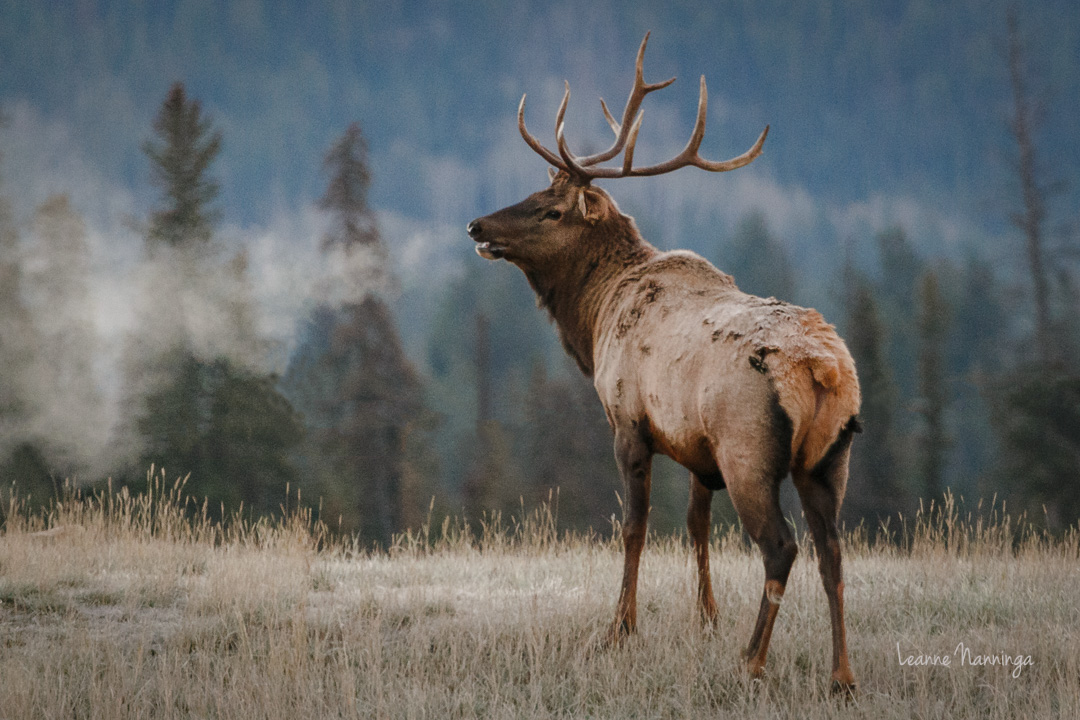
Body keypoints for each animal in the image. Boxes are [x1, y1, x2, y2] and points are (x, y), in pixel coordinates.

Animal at [464, 33, 859, 690]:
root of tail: (823, 372)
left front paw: (619, 629)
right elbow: (696, 527)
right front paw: (706, 618)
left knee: (782, 546)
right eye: (536, 193)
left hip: (749, 449)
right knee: (833, 551)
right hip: (830, 458)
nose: (476, 224)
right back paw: (841, 676)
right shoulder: (698, 451)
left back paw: (752, 661)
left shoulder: (629, 420)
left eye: (552, 209)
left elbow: (635, 527)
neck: (594, 322)